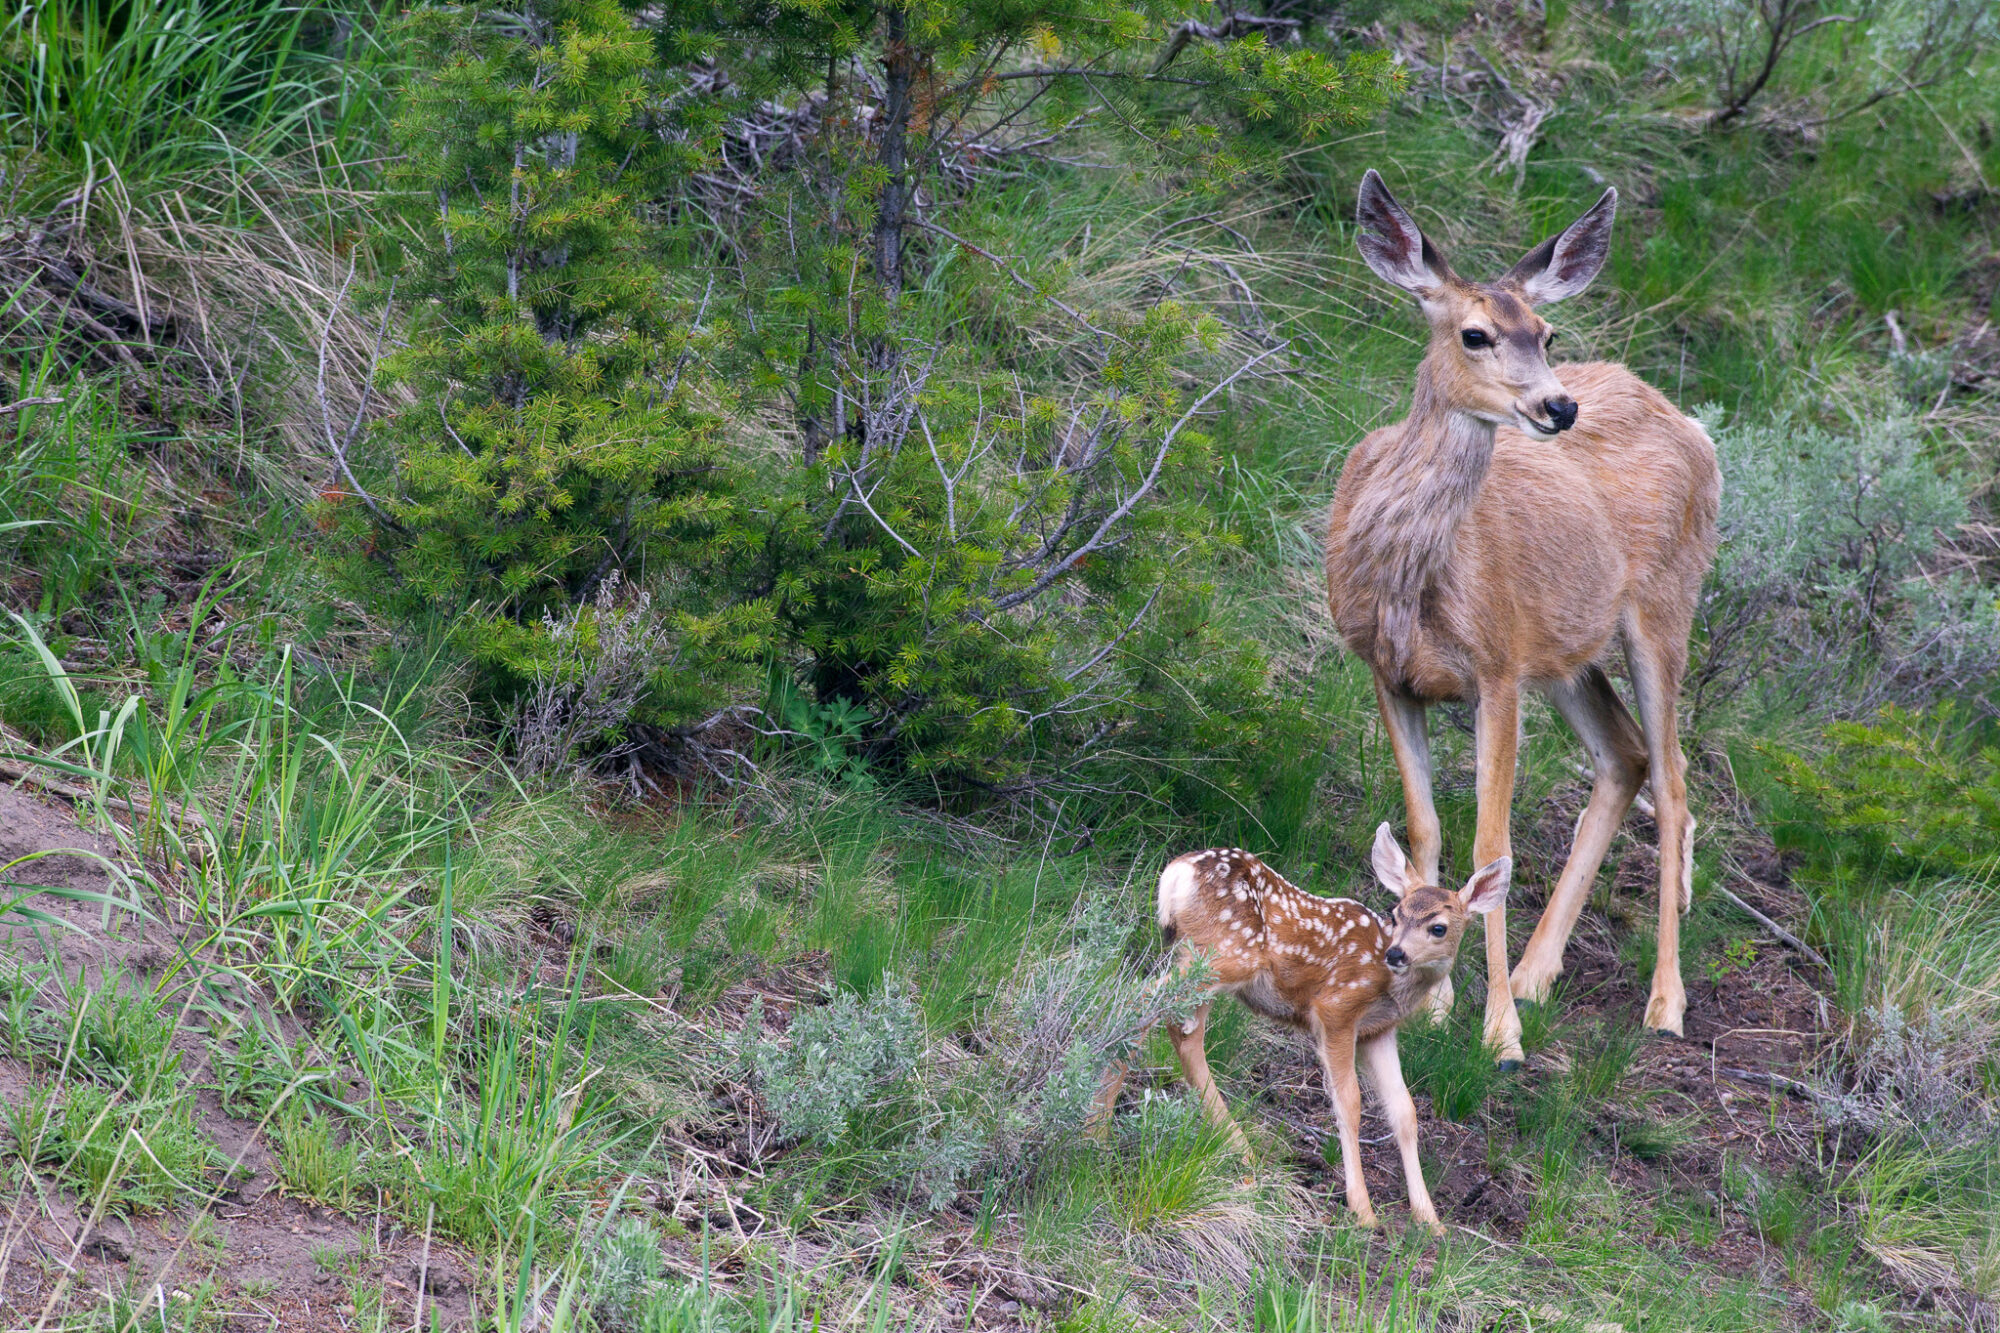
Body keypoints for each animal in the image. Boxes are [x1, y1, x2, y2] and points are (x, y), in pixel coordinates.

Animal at [1096, 824, 1504, 1232]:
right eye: (1396, 913)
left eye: (1438, 928)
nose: (1396, 953)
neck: (1390, 986)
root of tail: (1177, 873)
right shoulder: (1336, 1009)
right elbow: (1350, 1101)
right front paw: (1363, 1211)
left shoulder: (1378, 1031)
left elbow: (1404, 1111)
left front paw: (1430, 1220)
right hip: (1223, 954)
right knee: (1139, 999)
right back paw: (1097, 1126)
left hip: (1199, 956)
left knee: (1182, 1033)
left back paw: (1237, 1148)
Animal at [1328, 169, 1720, 1056]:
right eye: (1474, 333)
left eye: (1545, 331)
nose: (1558, 407)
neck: (1411, 578)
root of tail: (1694, 425)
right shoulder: (1387, 672)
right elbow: (1426, 828)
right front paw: (1434, 1001)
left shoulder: (1497, 666)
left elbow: (1491, 843)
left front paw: (1498, 1033)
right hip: (1569, 651)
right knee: (1626, 756)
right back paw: (1541, 972)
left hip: (1664, 606)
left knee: (1675, 781)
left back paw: (1664, 1002)